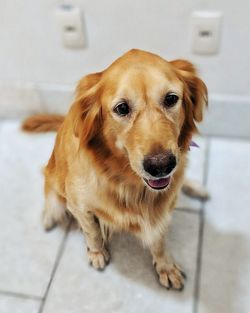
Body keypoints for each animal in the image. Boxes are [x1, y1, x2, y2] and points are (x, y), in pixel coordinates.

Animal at [23, 49, 207, 290]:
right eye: (122, 108)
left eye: (171, 99)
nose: (161, 166)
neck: (128, 182)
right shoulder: (79, 206)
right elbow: (92, 231)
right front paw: (97, 253)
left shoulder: (163, 211)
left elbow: (159, 241)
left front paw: (165, 266)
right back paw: (49, 216)